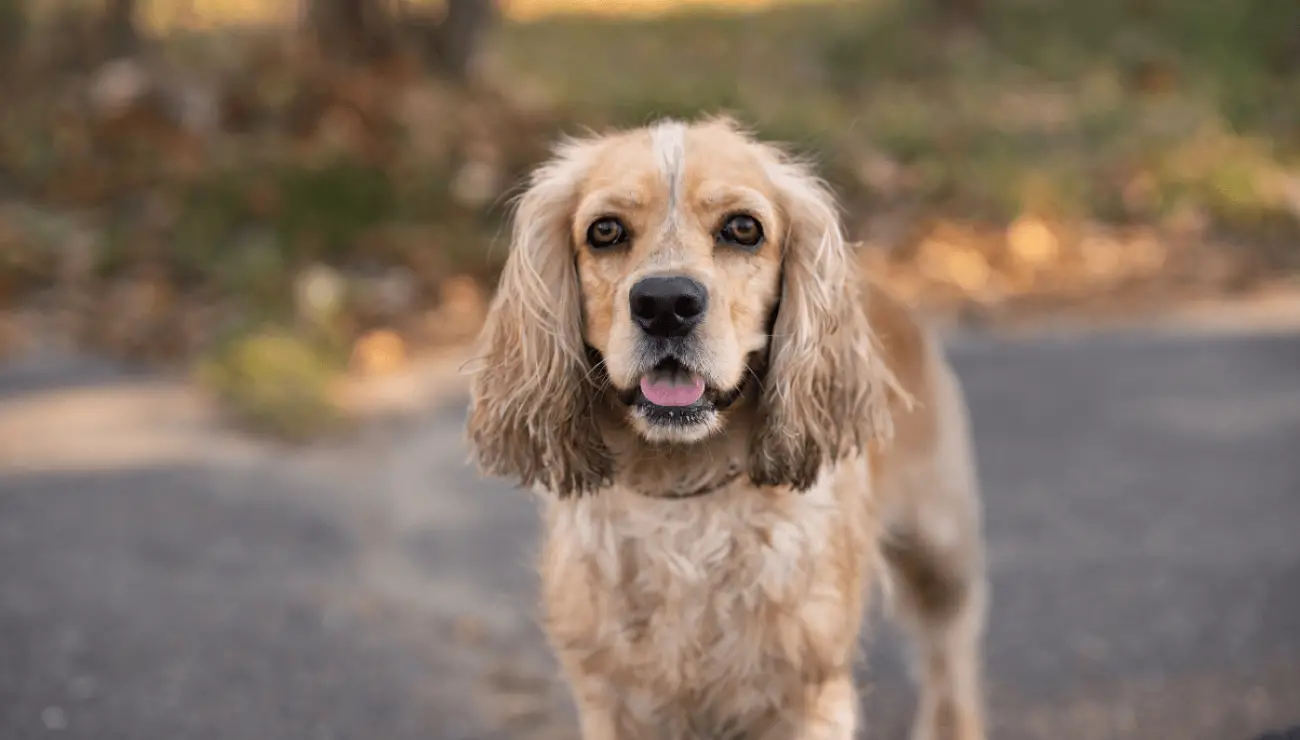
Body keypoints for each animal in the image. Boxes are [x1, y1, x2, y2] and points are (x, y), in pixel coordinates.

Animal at [467, 117, 982, 738]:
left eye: (743, 229)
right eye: (605, 230)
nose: (665, 302)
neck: (685, 495)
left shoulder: (809, 696)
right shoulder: (614, 701)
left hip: (941, 549)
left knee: (949, 655)